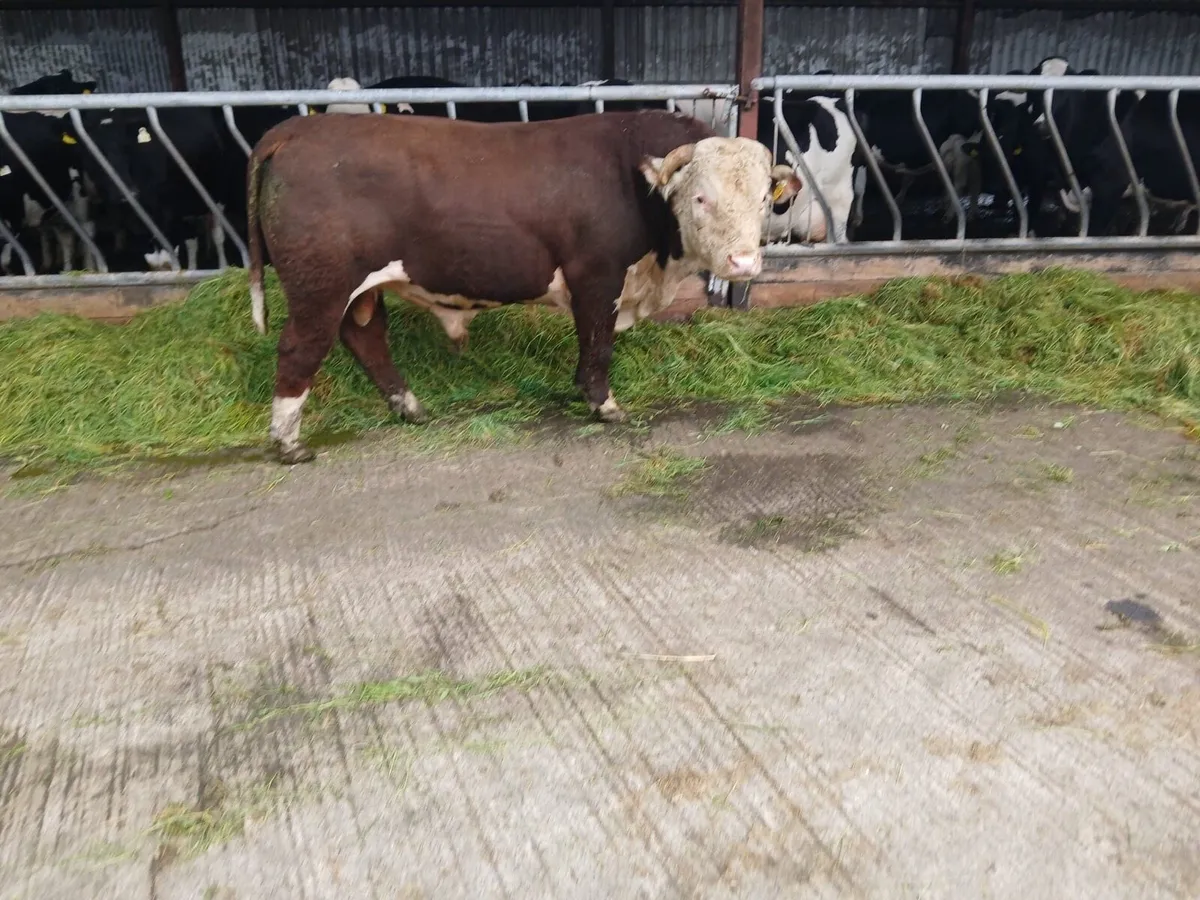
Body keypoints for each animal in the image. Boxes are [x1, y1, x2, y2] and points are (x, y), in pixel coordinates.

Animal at [245, 110, 801, 463]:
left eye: (762, 200)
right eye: (701, 197)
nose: (743, 262)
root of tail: (297, 127)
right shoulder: (597, 275)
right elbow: (598, 343)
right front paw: (604, 404)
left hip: (357, 289)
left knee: (366, 338)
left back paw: (410, 408)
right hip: (320, 286)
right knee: (299, 349)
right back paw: (289, 444)